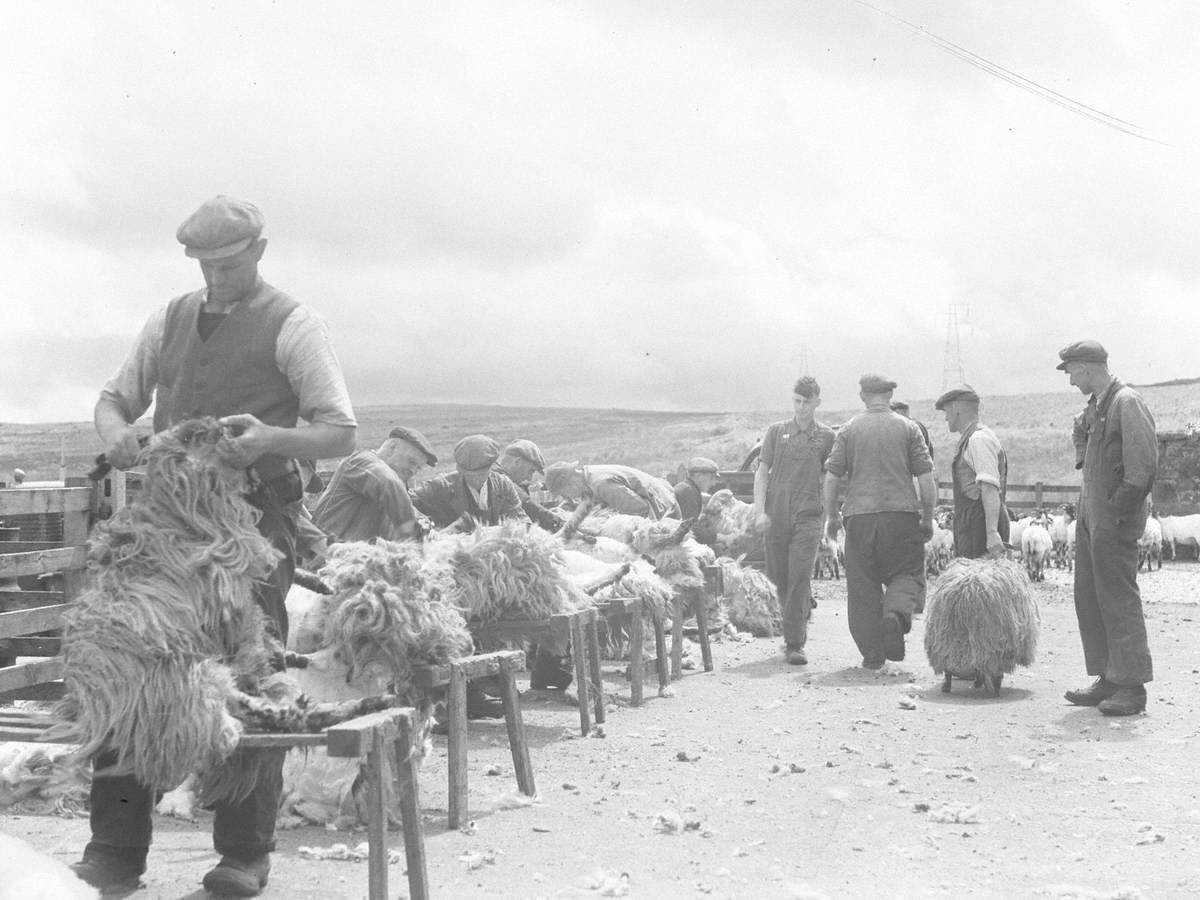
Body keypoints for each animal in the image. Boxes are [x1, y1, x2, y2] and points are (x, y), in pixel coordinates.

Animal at [921, 556, 1036, 696]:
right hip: (990, 645)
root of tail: (967, 590)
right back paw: (993, 688)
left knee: (950, 666)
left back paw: (948, 685)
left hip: (948, 642)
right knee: (991, 669)